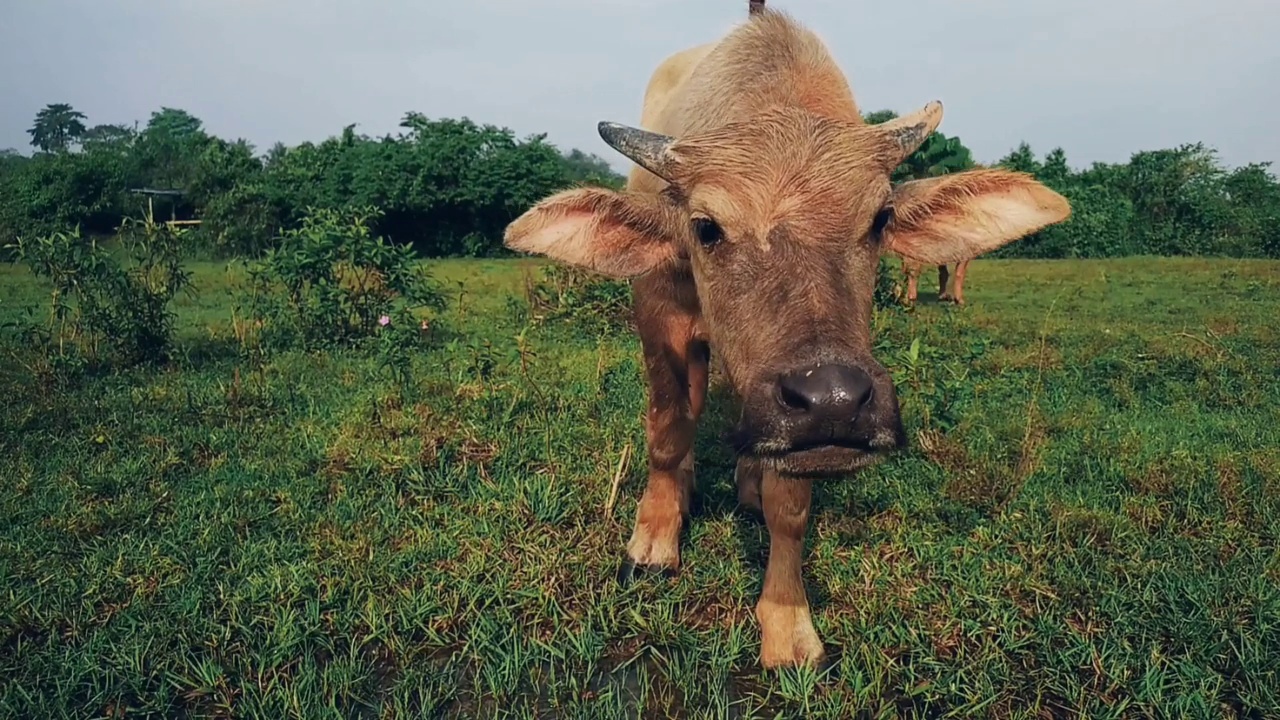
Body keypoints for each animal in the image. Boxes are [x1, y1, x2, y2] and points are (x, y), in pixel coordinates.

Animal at [499, 0, 1070, 666]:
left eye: (880, 219)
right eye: (705, 226)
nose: (834, 401)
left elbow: (789, 509)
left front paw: (787, 621)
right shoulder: (658, 310)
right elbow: (668, 428)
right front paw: (654, 540)